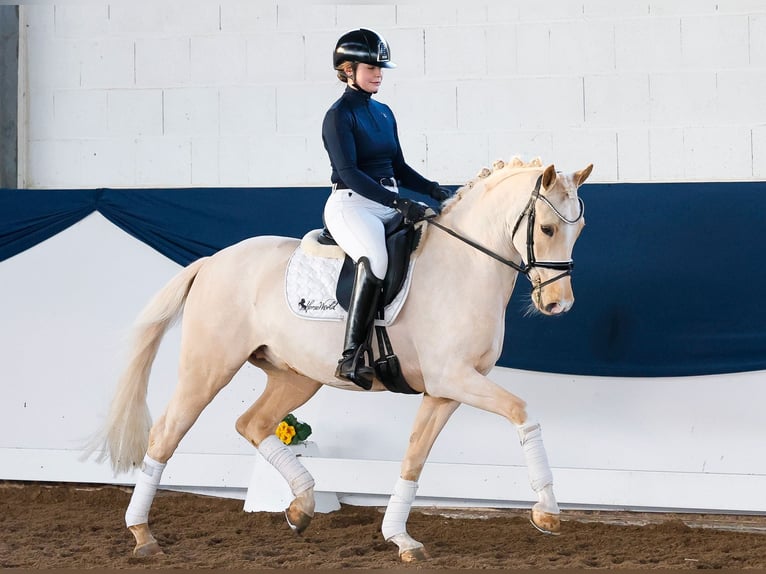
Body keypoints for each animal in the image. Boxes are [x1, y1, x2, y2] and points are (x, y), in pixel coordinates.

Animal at [90, 156, 592, 564]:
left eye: (579, 231)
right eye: (547, 229)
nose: (560, 305)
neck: (465, 267)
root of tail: (212, 261)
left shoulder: (445, 389)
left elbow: (414, 457)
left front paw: (400, 538)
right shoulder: (454, 378)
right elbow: (521, 412)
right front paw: (547, 514)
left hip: (296, 377)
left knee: (252, 423)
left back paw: (301, 507)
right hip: (208, 367)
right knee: (165, 434)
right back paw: (143, 536)